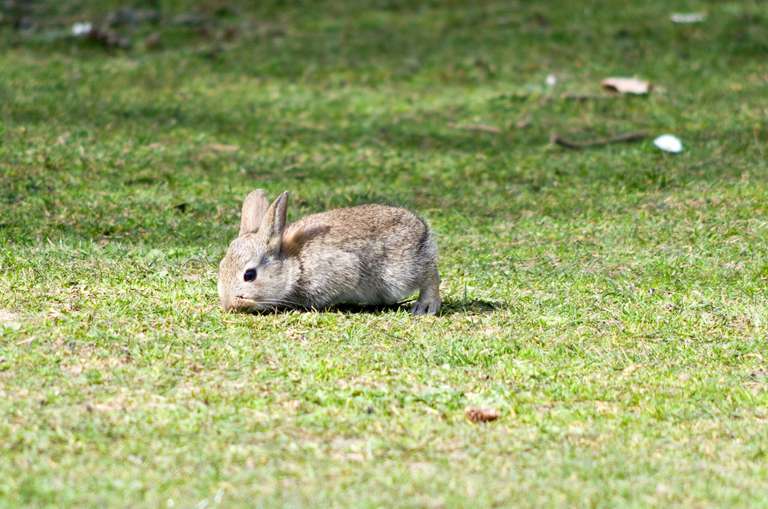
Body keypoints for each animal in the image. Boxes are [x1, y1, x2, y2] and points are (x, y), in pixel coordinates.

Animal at [218, 189, 441, 315]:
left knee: (430, 275)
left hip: (400, 273)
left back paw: (425, 306)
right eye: (221, 267)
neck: (295, 264)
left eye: (249, 275)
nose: (230, 305)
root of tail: (421, 227)